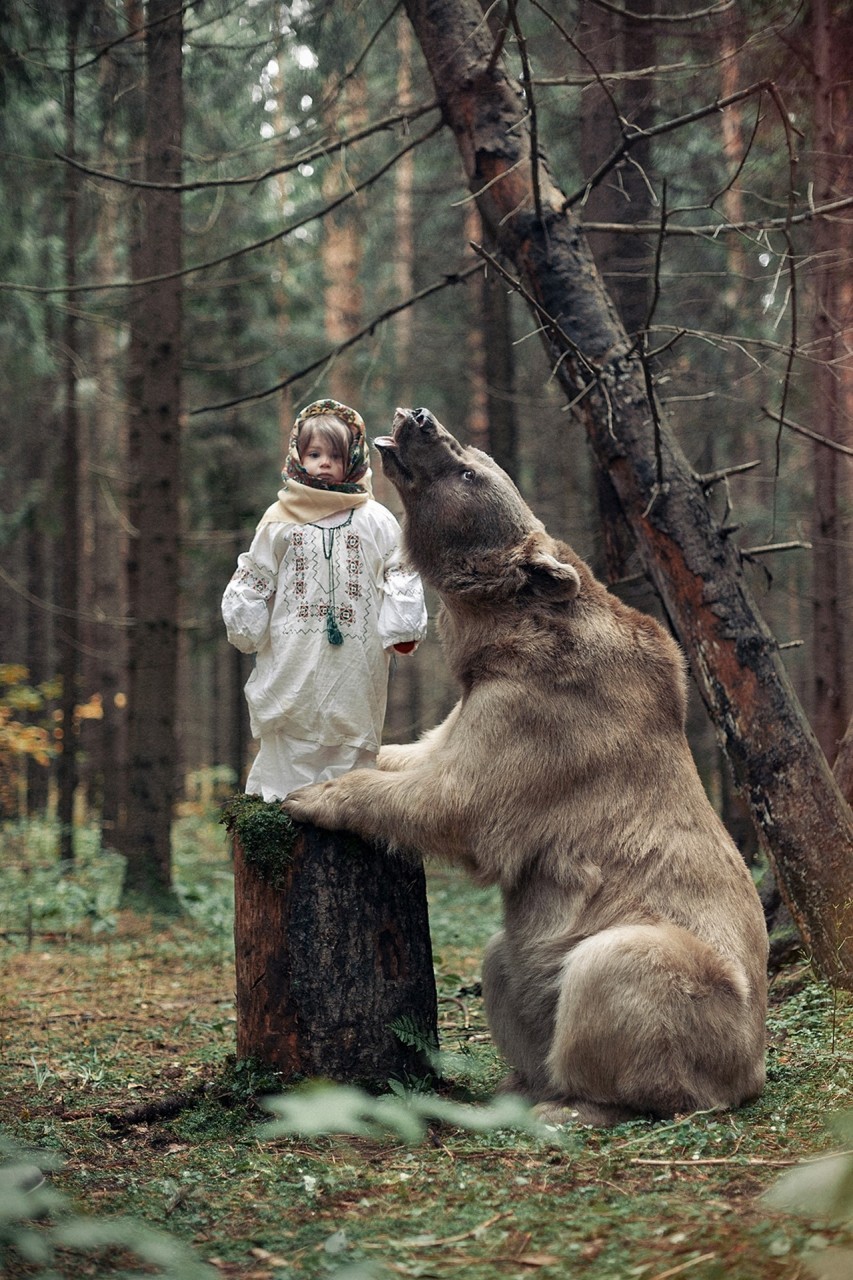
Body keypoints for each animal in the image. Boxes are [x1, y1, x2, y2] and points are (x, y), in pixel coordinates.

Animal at [284, 404, 763, 1126]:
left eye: (468, 470)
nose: (420, 418)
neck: (506, 629)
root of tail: (754, 1066)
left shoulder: (545, 716)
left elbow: (458, 799)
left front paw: (316, 793)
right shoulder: (481, 694)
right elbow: (426, 751)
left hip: (706, 998)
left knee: (617, 969)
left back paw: (575, 1103)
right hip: (537, 960)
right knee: (504, 963)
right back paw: (520, 1082)